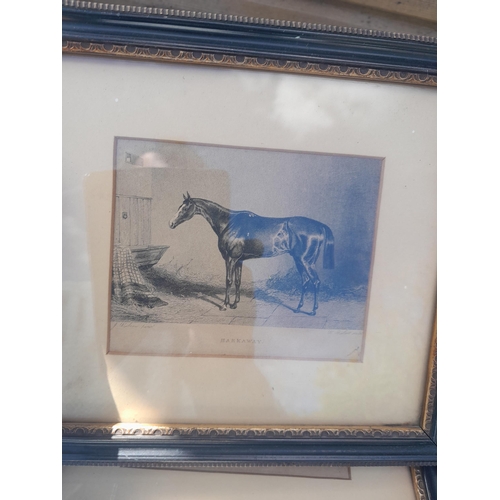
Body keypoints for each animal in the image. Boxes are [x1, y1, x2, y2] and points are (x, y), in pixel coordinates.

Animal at [169, 193, 336, 314]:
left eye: (184, 208)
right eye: (179, 207)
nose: (171, 223)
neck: (229, 223)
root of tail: (320, 226)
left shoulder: (230, 258)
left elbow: (228, 280)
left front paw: (224, 305)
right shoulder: (239, 260)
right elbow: (238, 281)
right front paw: (235, 304)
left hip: (305, 261)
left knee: (315, 282)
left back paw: (313, 310)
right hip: (300, 261)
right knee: (305, 282)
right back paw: (298, 308)